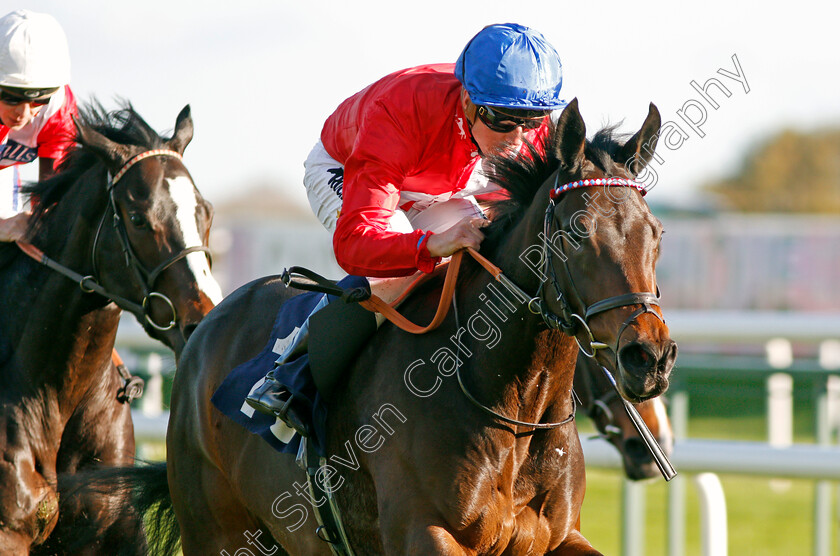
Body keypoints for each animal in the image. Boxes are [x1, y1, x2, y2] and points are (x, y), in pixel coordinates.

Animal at [0, 103, 221, 552]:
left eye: (204, 211)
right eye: (137, 218)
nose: (201, 320)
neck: (56, 395)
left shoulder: (109, 529)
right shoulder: (8, 532)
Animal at [133, 97, 676, 552]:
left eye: (656, 232)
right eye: (574, 233)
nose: (649, 358)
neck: (513, 406)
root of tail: (209, 320)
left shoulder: (559, 537)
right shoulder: (426, 533)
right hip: (215, 529)